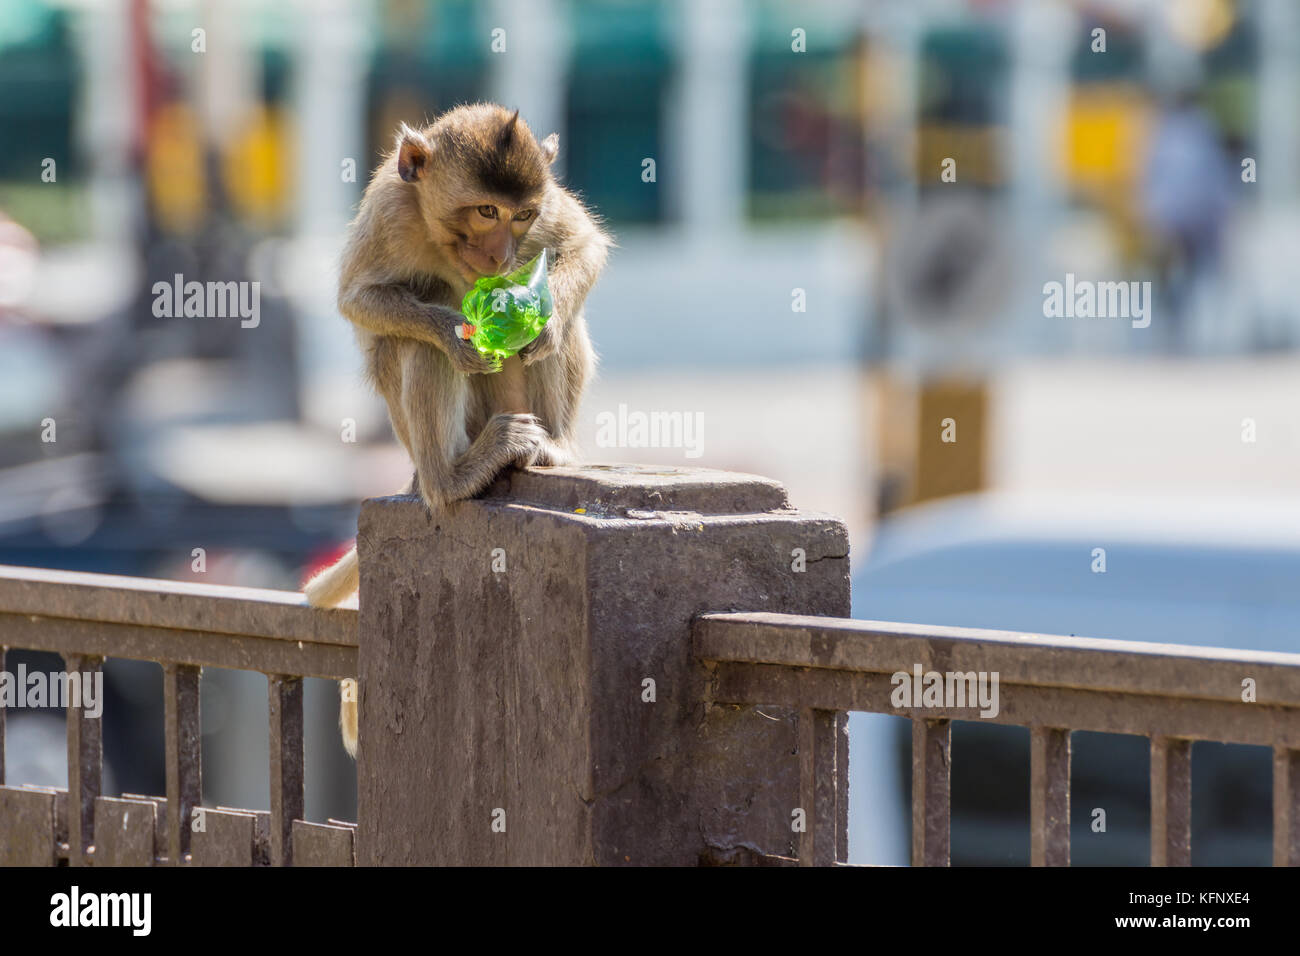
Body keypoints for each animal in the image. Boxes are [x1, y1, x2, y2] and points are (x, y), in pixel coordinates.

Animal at [303, 103, 611, 757]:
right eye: (485, 211)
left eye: (521, 214)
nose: (502, 254)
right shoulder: (391, 213)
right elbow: (359, 299)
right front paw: (455, 332)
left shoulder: (546, 217)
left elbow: (583, 245)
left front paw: (539, 322)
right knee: (417, 343)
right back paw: (454, 480)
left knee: (565, 325)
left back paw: (554, 446)